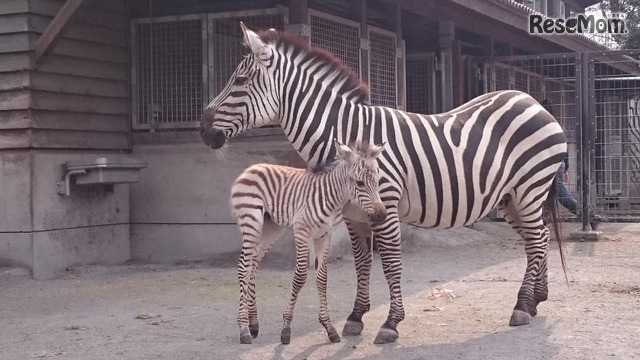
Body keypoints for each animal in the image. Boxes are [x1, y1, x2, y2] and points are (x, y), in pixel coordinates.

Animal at [232, 139, 388, 344]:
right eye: (360, 183)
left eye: (377, 181)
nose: (382, 215)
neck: (332, 198)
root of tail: (251, 168)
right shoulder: (302, 232)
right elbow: (300, 277)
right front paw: (286, 328)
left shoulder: (325, 235)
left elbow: (322, 278)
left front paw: (329, 328)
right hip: (251, 221)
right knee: (244, 265)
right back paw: (243, 329)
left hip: (272, 228)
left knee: (253, 263)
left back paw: (254, 324)